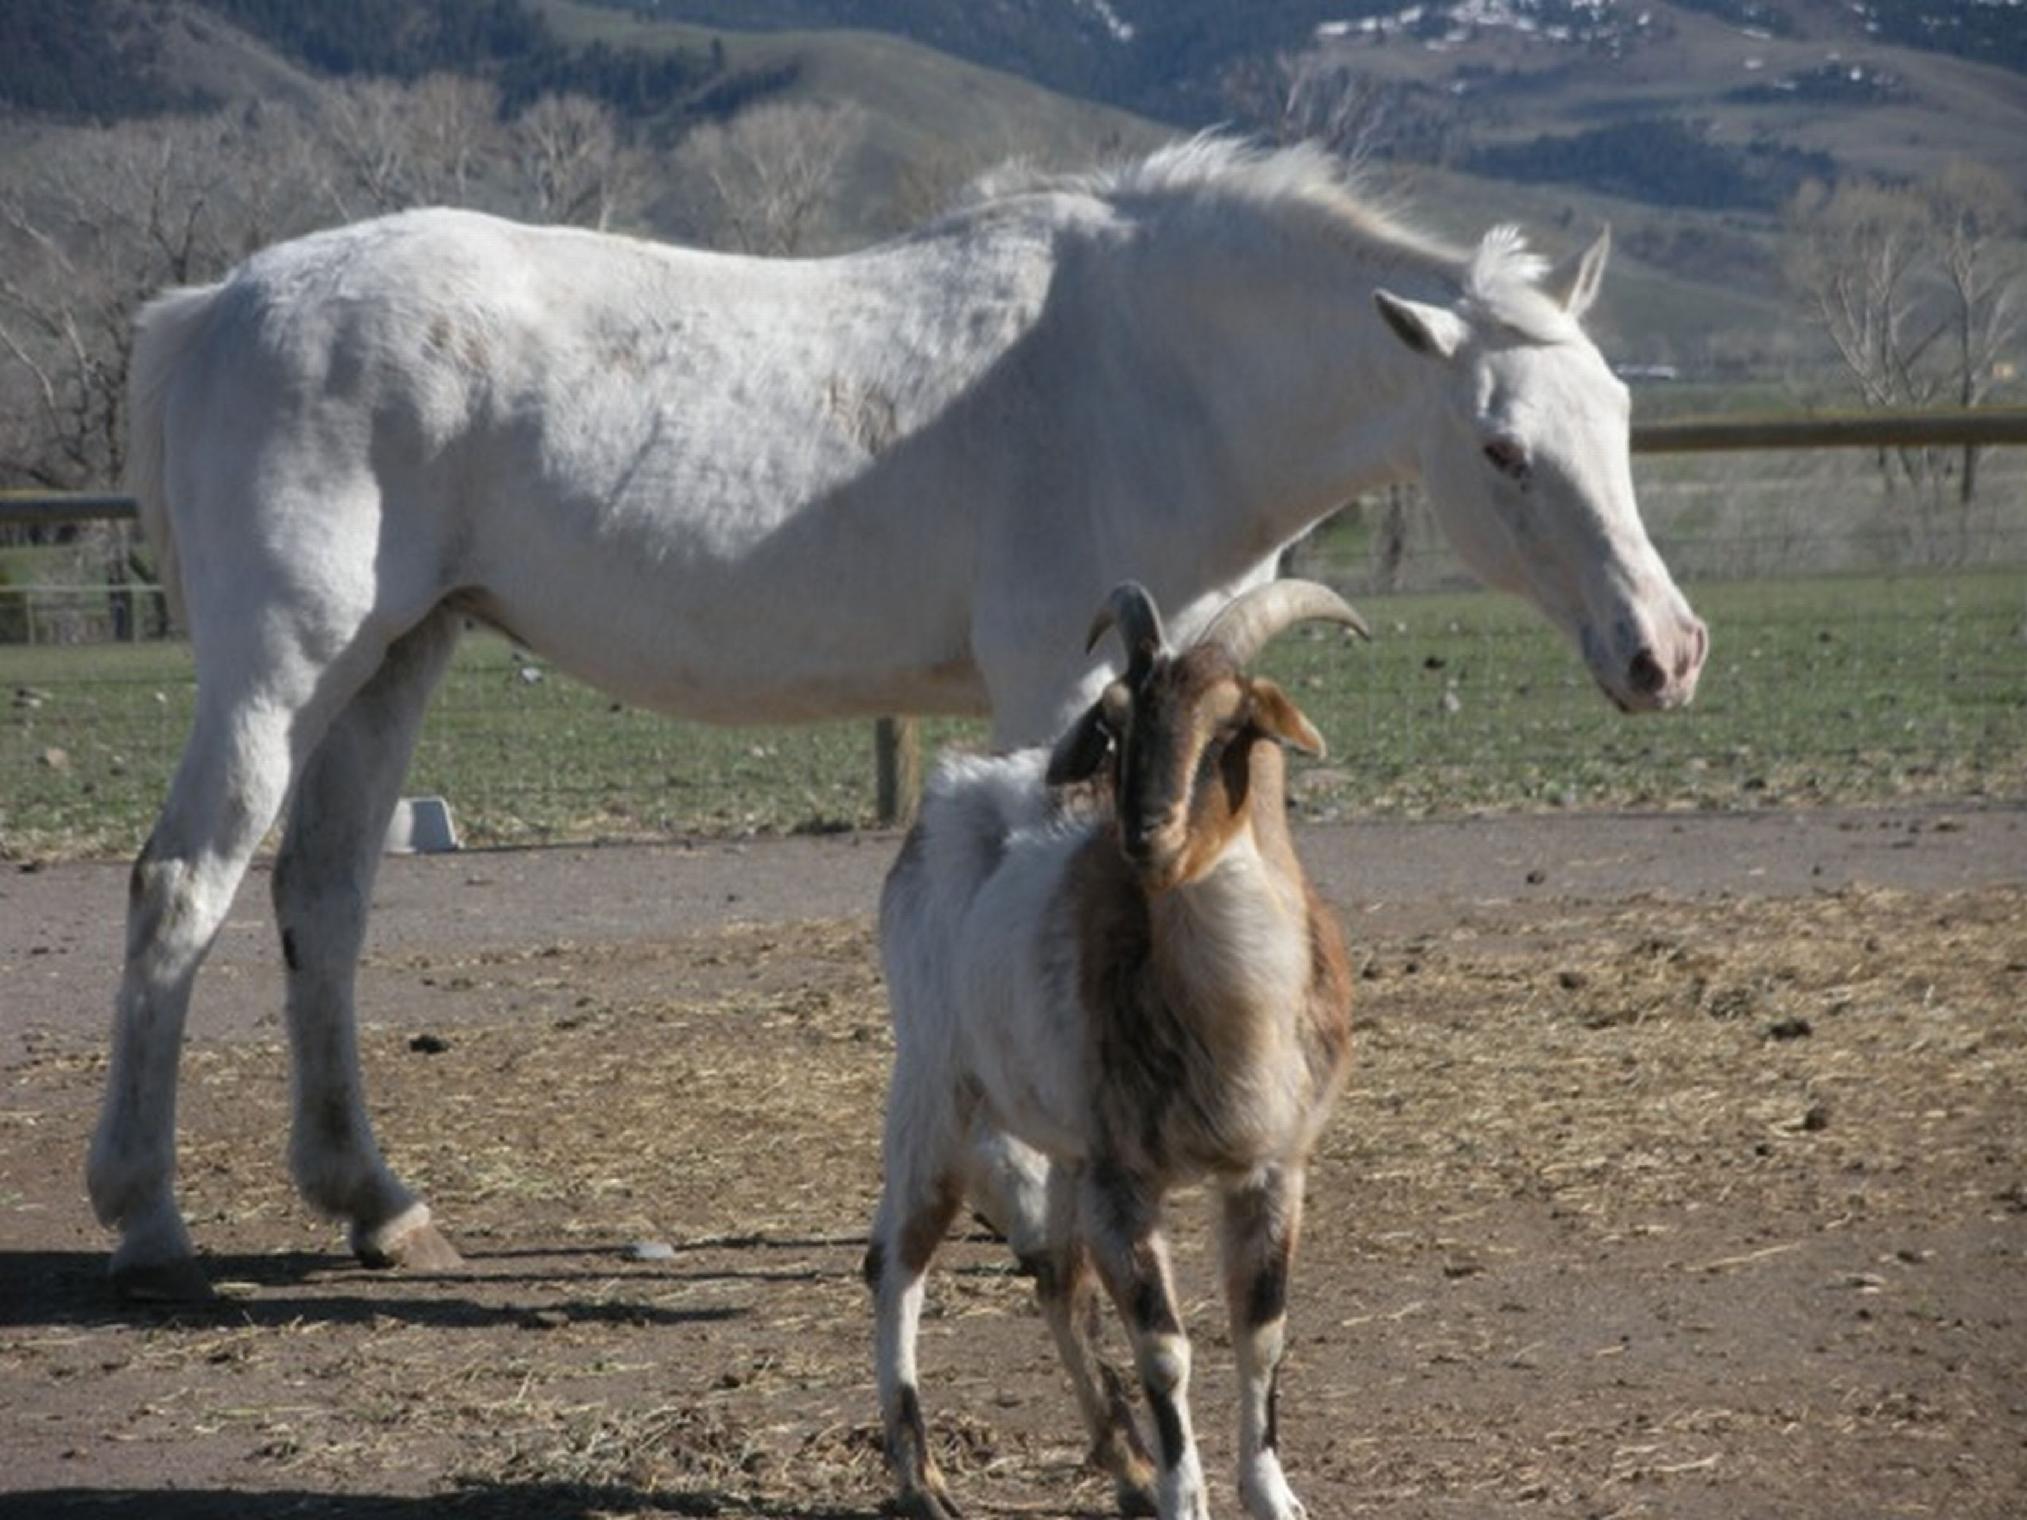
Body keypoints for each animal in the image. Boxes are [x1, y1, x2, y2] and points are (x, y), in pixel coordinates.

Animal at [95, 139, 1710, 1297]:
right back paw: (147, 1217)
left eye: (1623, 416)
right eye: (1499, 449)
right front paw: (1029, 1192)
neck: (1150, 374)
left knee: (321, 901)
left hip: (396, 657)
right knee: (182, 888)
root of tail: (218, 306)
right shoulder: (1063, 688)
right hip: (288, 663)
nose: (1663, 650)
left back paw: (377, 1203)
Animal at [867, 579, 1362, 1520]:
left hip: (1056, 1141)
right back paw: (924, 1482)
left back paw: (1126, 1467)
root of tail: (958, 782)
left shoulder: (1273, 1167)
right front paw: (1183, 1496)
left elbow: (1263, 1332)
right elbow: (1165, 1348)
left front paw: (1270, 1495)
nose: (1143, 836)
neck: (1233, 1022)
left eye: (1233, 725)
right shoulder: (1122, 1176)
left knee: (1058, 1278)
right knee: (895, 1262)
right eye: (1118, 720)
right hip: (934, 1085)